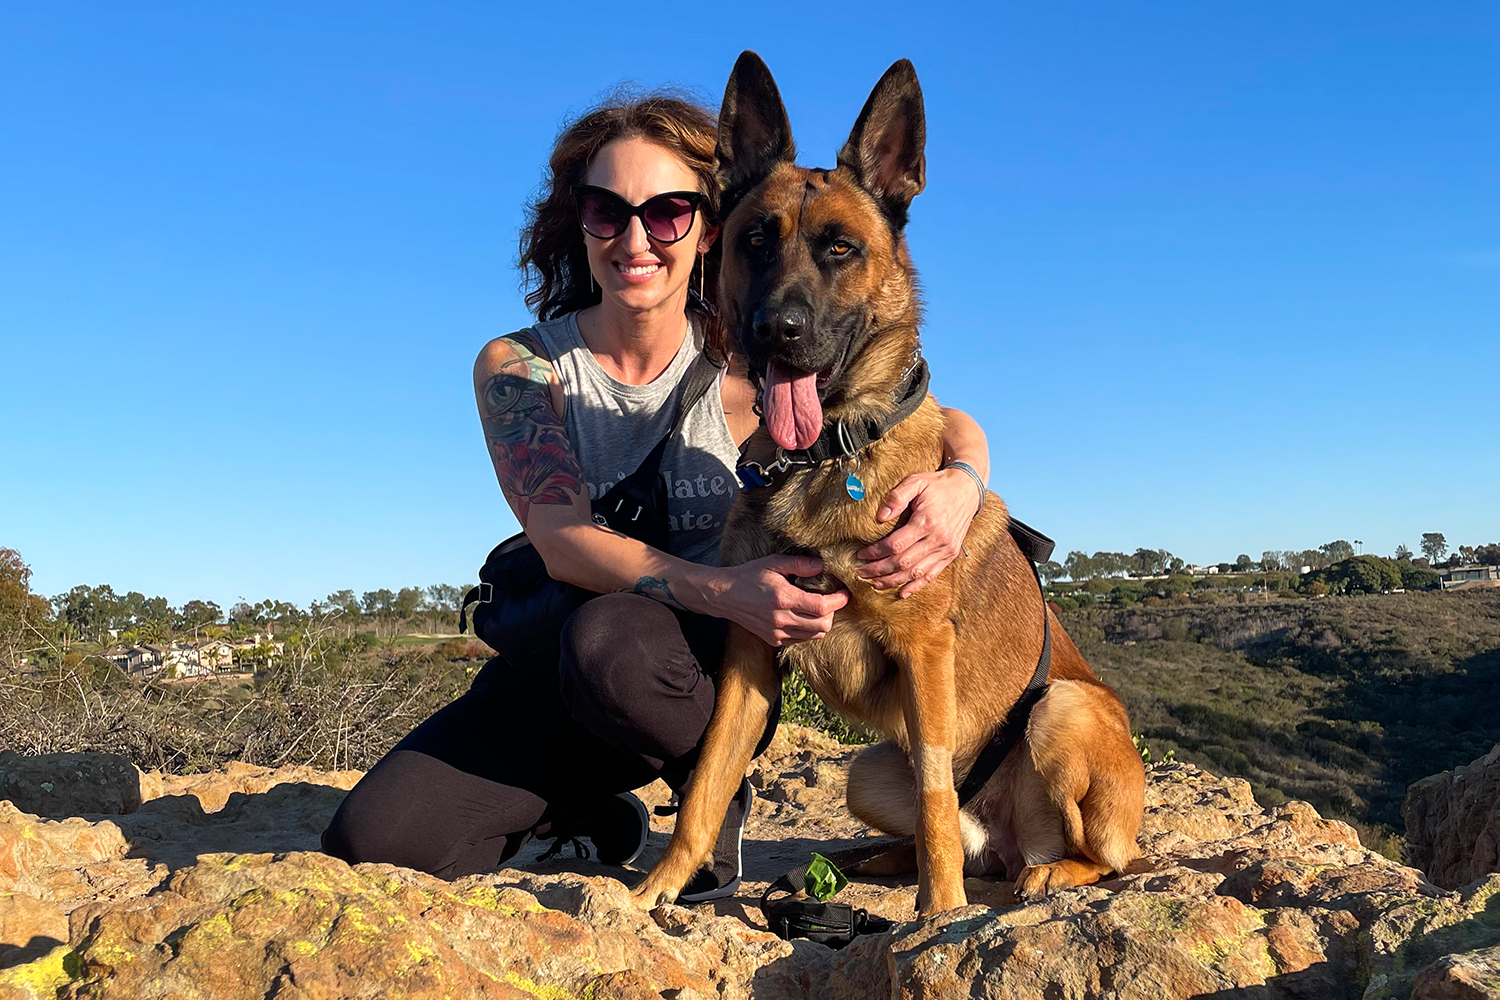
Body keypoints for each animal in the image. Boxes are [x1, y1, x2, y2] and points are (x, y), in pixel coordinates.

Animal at [627, 52, 1140, 917]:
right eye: (754, 241)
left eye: (840, 249)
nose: (777, 331)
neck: (826, 456)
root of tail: (1009, 837)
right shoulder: (752, 653)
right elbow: (704, 789)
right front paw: (654, 891)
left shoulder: (924, 653)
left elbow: (936, 800)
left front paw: (939, 917)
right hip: (865, 770)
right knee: (963, 839)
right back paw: (873, 861)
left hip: (1063, 712)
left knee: (1100, 857)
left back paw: (1041, 875)